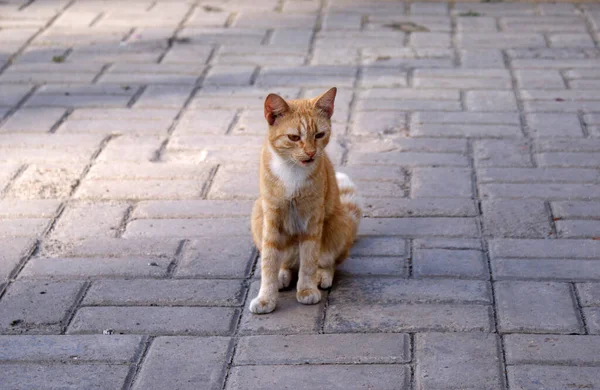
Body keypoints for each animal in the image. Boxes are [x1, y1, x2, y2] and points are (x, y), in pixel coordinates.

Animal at [250, 87, 360, 314]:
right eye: (293, 137)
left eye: (319, 135)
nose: (310, 152)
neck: (292, 170)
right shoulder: (271, 218)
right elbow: (268, 261)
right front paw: (266, 298)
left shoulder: (312, 219)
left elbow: (309, 260)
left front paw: (307, 289)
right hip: (257, 213)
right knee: (286, 264)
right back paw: (283, 274)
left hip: (338, 224)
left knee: (328, 262)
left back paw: (322, 275)